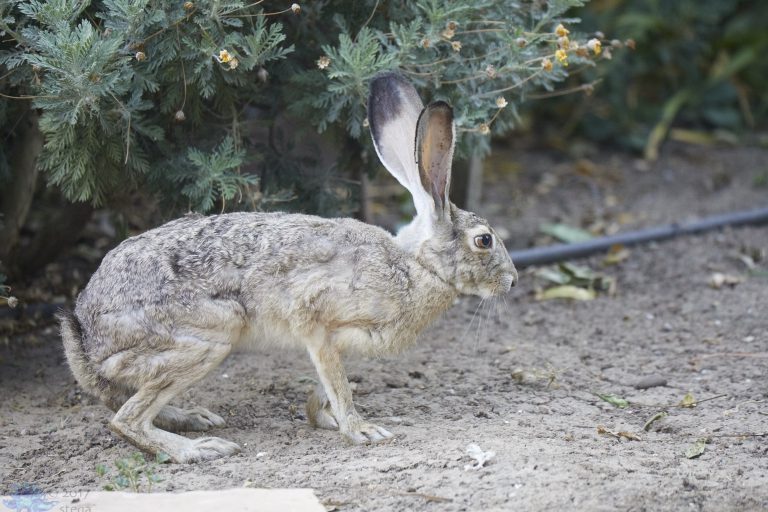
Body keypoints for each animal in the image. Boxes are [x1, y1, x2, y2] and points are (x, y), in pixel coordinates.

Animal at [58, 72, 518, 463]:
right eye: (484, 240)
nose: (512, 281)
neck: (416, 266)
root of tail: (86, 334)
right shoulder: (315, 319)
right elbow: (337, 382)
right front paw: (360, 430)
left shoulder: (337, 342)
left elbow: (326, 383)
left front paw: (323, 418)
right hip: (209, 334)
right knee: (125, 419)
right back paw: (198, 448)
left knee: (125, 400)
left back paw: (192, 418)